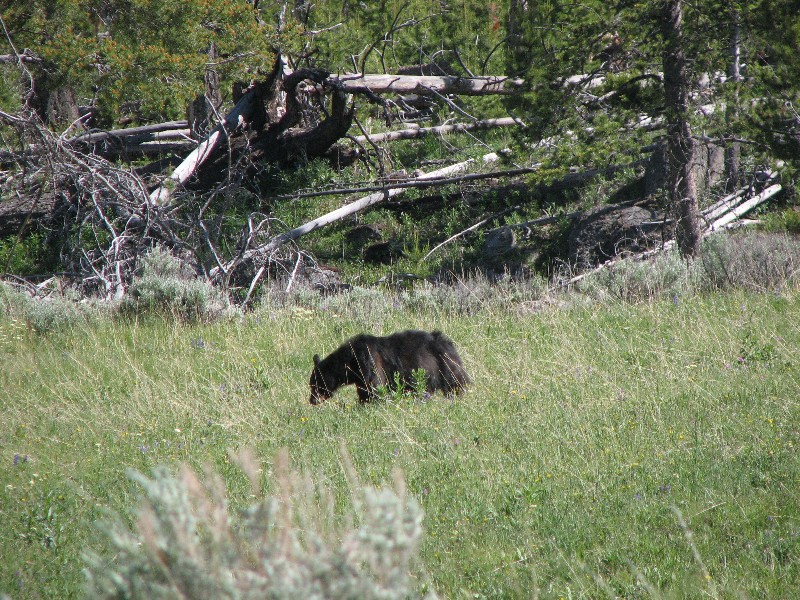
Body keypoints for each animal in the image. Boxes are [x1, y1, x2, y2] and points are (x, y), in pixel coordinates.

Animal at [306, 330, 468, 406]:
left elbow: (375, 388)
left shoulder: (370, 364)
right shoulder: (360, 377)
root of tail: (445, 342)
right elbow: (364, 392)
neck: (350, 361)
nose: (312, 400)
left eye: (315, 384)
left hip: (445, 365)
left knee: (455, 384)